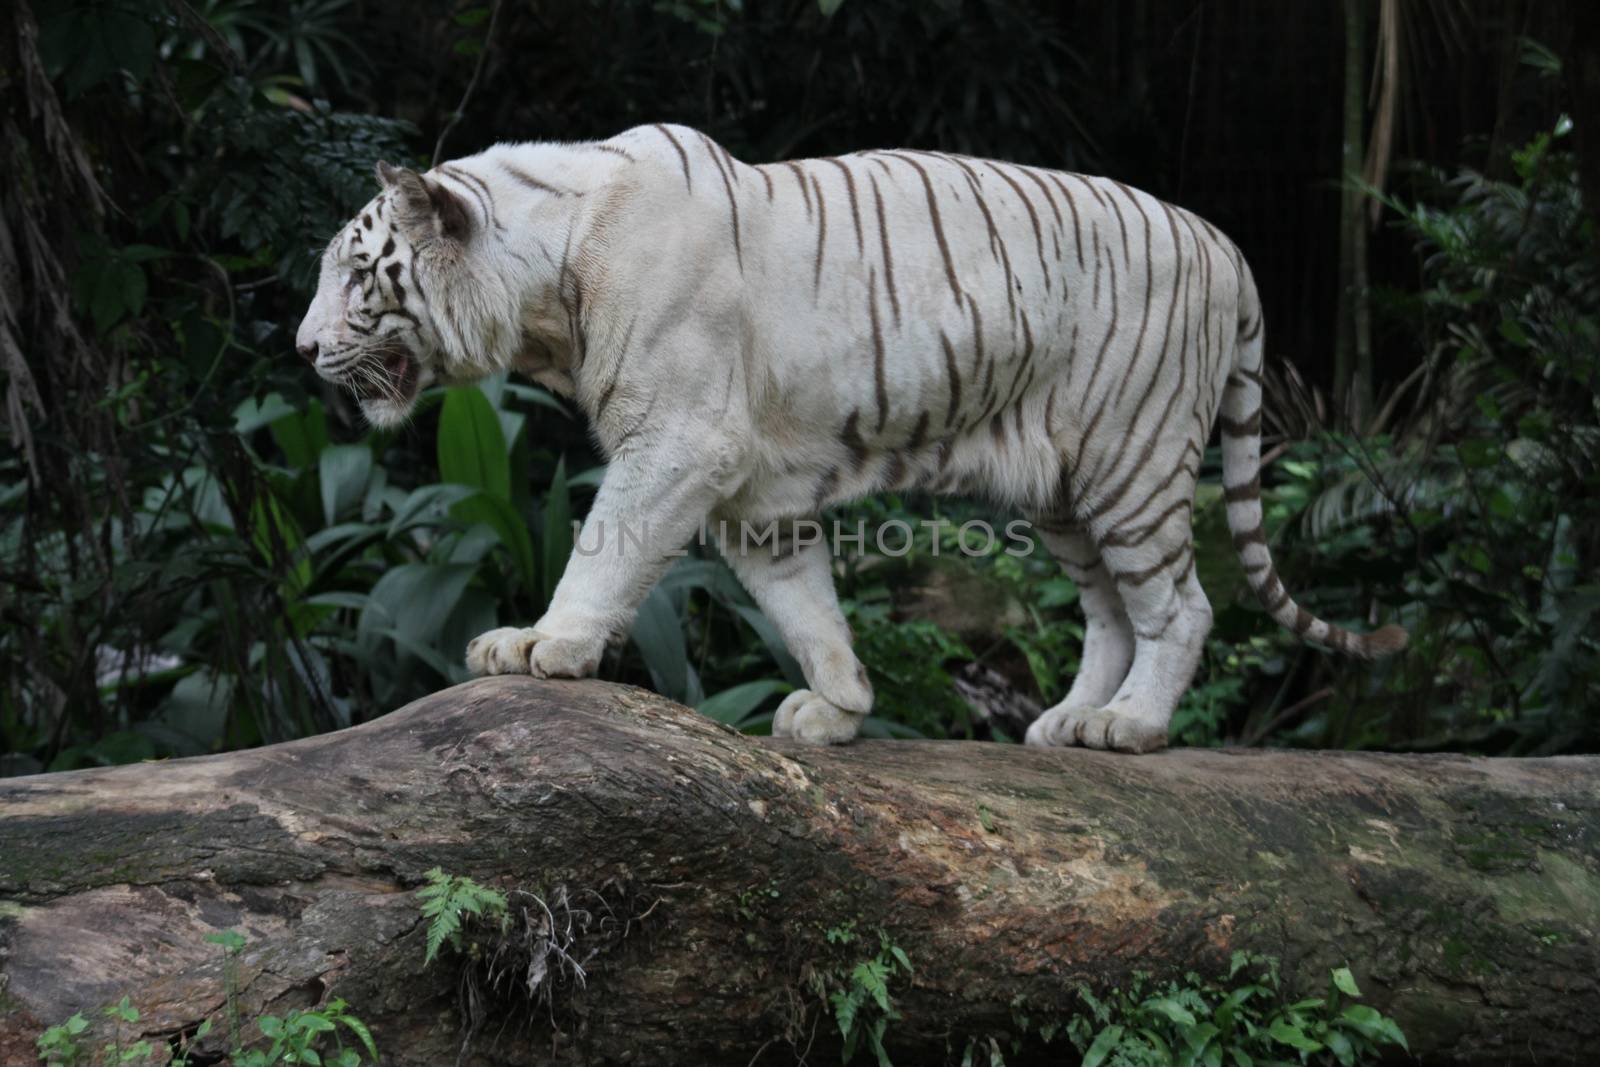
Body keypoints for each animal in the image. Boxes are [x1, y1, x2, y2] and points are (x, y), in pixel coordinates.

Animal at [297, 125, 1401, 755]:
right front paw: (838, 704)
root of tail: (1225, 243)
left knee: (1180, 605)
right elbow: (805, 605)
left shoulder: (678, 443)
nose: (304, 347)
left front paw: (543, 643)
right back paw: (1068, 722)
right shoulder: (752, 494)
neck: (542, 299)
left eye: (358, 274)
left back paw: (1131, 725)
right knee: (1110, 612)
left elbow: (605, 545)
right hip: (1063, 490)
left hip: (1130, 457)